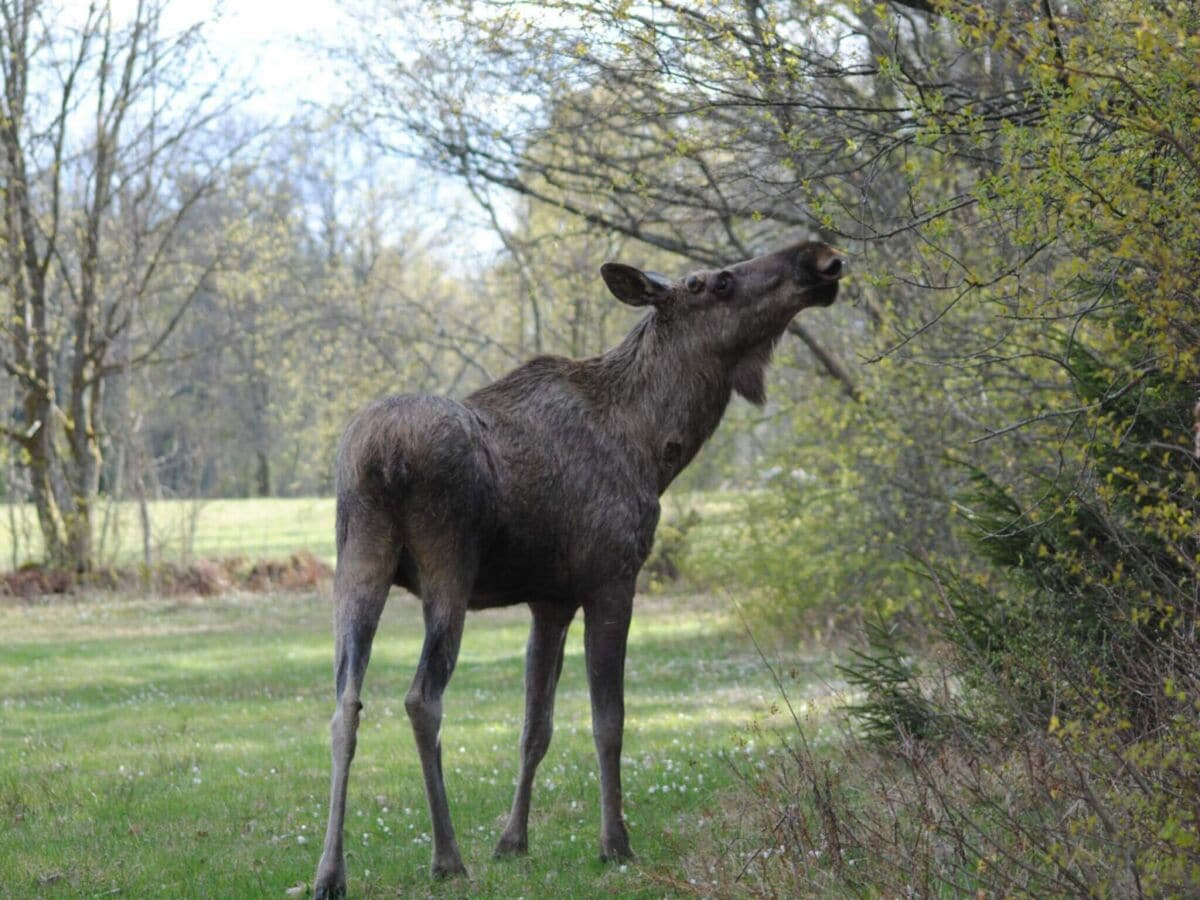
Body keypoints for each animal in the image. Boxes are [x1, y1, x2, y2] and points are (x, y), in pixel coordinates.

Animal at [314, 237, 849, 897]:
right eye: (717, 281)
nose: (818, 256)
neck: (656, 448)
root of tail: (383, 457)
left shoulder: (551, 600)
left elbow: (534, 727)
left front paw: (512, 842)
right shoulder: (611, 578)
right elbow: (608, 721)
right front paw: (614, 842)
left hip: (356, 562)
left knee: (345, 706)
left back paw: (330, 871)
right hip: (448, 569)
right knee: (421, 699)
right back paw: (447, 856)